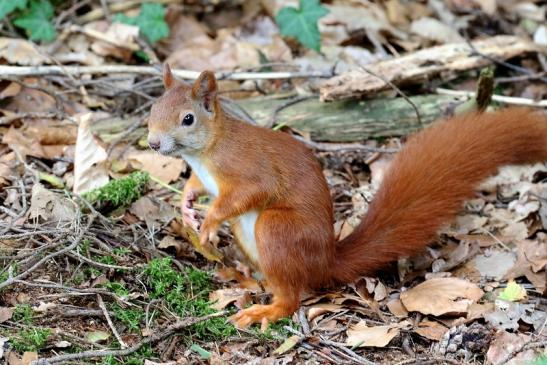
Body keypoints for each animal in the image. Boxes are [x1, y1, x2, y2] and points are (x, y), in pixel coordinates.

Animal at [147, 64, 547, 328]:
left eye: (187, 119)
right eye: (152, 109)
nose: (152, 143)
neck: (206, 153)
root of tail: (327, 261)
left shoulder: (248, 170)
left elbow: (247, 193)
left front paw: (209, 223)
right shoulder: (205, 178)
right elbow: (195, 187)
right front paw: (186, 206)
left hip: (276, 229)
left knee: (291, 295)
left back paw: (268, 309)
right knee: (274, 281)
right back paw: (243, 276)